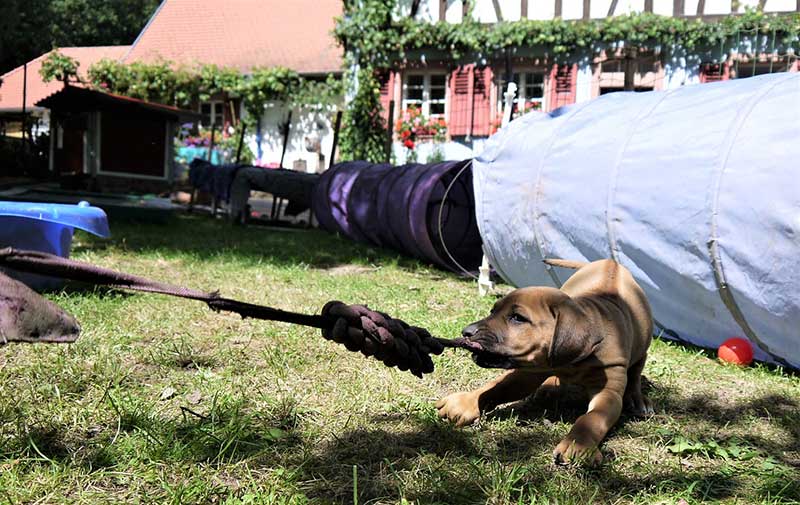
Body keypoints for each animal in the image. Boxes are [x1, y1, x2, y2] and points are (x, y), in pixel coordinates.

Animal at [434, 258, 652, 462]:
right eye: (492, 311)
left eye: (517, 318)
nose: (466, 332)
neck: (573, 362)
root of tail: (610, 262)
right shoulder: (529, 371)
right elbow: (497, 387)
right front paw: (465, 402)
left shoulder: (608, 390)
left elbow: (591, 419)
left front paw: (578, 444)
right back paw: (549, 386)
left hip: (643, 347)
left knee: (635, 373)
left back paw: (637, 400)